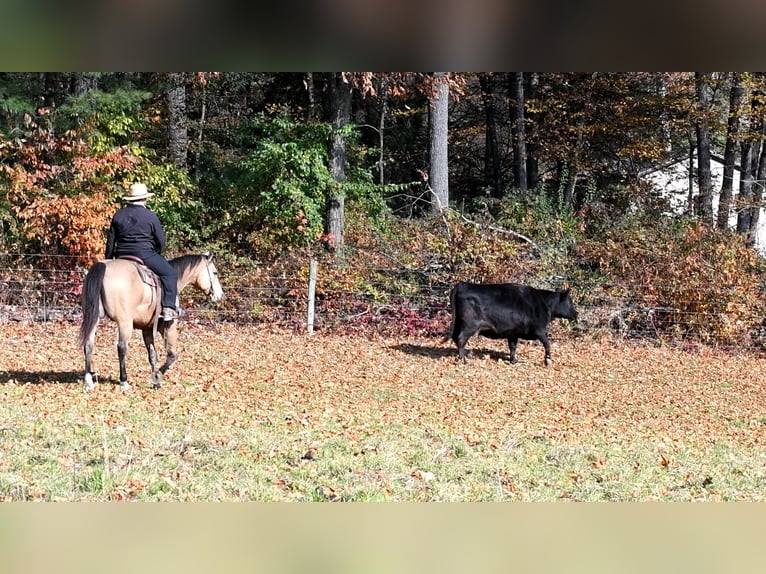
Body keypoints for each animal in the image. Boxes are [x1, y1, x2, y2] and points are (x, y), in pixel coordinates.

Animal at [77, 254, 224, 394]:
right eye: (215, 272)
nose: (220, 295)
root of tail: (104, 266)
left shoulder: (146, 329)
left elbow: (153, 356)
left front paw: (156, 382)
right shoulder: (169, 326)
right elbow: (172, 355)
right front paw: (156, 377)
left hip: (94, 318)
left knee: (88, 345)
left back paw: (89, 381)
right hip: (125, 323)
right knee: (121, 348)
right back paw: (124, 382)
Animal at [448, 282, 580, 366]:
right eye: (569, 302)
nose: (576, 313)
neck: (543, 303)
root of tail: (463, 284)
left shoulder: (513, 333)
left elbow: (513, 347)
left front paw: (513, 361)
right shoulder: (540, 329)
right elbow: (547, 344)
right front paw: (547, 360)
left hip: (459, 323)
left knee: (455, 337)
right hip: (470, 325)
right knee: (461, 338)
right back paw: (464, 360)